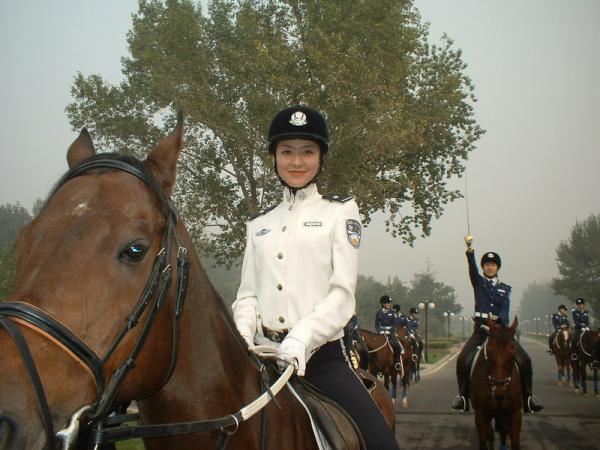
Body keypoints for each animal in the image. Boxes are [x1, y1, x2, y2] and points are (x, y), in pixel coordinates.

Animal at [472, 318, 524, 448]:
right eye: (490, 347)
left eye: (513, 348)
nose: (499, 391)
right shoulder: (480, 415)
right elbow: (484, 442)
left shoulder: (515, 414)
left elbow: (514, 441)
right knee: (492, 435)